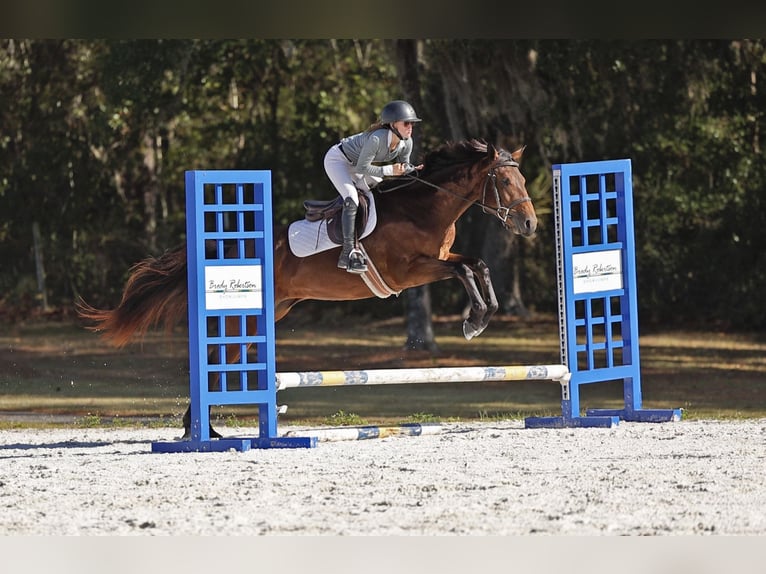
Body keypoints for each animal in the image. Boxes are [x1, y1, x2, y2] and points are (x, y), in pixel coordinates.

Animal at [76, 138, 538, 438]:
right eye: (505, 183)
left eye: (523, 181)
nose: (531, 224)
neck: (424, 209)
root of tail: (231, 249)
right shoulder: (412, 271)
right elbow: (465, 271)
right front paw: (474, 322)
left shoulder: (439, 259)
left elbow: (476, 265)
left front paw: (483, 316)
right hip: (250, 314)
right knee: (214, 359)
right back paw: (199, 432)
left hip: (270, 312)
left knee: (221, 357)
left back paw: (204, 431)